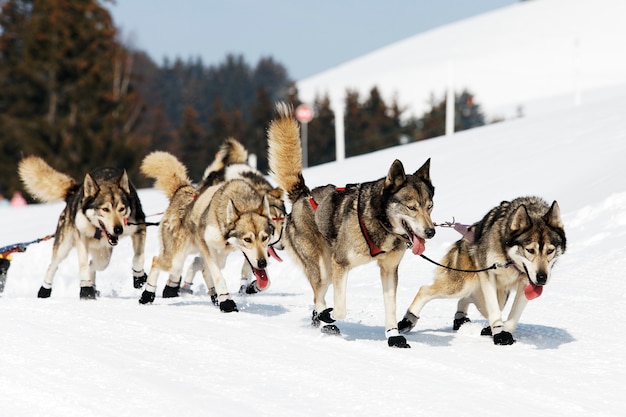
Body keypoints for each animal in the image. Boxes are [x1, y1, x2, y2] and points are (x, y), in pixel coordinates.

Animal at [17, 154, 147, 298]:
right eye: (105, 209)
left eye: (122, 209)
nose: (118, 229)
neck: (98, 229)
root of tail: (74, 192)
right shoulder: (81, 236)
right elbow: (83, 264)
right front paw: (86, 289)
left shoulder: (139, 228)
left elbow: (138, 257)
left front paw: (139, 277)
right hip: (64, 246)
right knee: (53, 265)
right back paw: (45, 290)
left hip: (104, 254)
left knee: (95, 264)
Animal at [140, 151, 272, 310]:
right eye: (247, 239)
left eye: (264, 238)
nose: (263, 263)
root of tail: (182, 189)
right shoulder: (208, 247)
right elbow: (218, 277)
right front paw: (227, 303)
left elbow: (265, 282)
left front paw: (253, 287)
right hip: (176, 259)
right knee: (156, 261)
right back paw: (147, 294)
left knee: (202, 268)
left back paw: (214, 296)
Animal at [179, 138, 284, 298]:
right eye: (273, 223)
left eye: (282, 222)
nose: (282, 245)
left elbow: (257, 273)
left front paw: (250, 286)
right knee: (201, 262)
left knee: (199, 261)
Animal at [264, 103, 434, 348]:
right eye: (411, 207)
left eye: (430, 206)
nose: (431, 232)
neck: (378, 222)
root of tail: (303, 195)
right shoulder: (341, 264)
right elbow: (341, 308)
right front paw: (330, 315)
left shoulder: (389, 269)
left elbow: (390, 306)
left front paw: (393, 335)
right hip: (323, 268)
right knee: (318, 295)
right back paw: (324, 318)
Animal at [400, 195, 564, 344]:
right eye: (530, 250)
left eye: (550, 251)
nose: (542, 278)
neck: (510, 261)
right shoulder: (487, 274)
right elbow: (494, 309)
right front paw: (499, 332)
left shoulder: (526, 283)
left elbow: (514, 315)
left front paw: (505, 330)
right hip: (463, 284)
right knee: (424, 290)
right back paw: (409, 320)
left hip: (495, 295)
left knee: (466, 299)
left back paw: (462, 319)